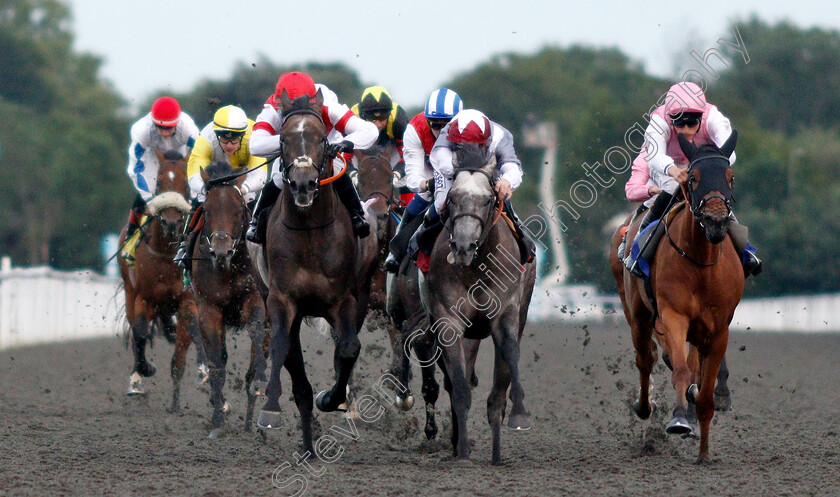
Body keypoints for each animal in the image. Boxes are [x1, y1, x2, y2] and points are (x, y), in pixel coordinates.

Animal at [118, 152, 207, 410]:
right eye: (158, 184)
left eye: (186, 185)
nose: (171, 222)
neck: (167, 255)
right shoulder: (145, 297)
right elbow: (140, 330)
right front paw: (145, 369)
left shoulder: (188, 297)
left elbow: (194, 328)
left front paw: (202, 370)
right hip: (130, 292)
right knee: (137, 329)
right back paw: (137, 382)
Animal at [190, 164, 270, 438]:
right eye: (206, 209)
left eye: (237, 210)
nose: (221, 252)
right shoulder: (208, 308)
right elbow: (216, 363)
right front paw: (217, 423)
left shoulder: (254, 298)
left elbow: (256, 332)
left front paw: (259, 379)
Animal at [253, 89, 378, 454]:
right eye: (283, 137)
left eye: (323, 138)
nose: (304, 184)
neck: (309, 232)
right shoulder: (281, 300)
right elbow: (280, 347)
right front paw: (270, 410)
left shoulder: (344, 300)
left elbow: (349, 349)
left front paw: (332, 398)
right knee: (297, 375)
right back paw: (308, 448)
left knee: (344, 350)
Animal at [426, 144, 540, 464]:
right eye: (452, 197)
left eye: (488, 198)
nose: (463, 246)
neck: (476, 266)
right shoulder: (449, 320)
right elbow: (460, 389)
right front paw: (463, 453)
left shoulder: (506, 313)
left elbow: (508, 361)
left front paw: (518, 416)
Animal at [612, 131, 740, 462]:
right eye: (693, 177)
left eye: (730, 177)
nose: (716, 221)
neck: (701, 265)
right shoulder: (673, 316)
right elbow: (681, 370)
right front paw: (680, 419)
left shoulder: (718, 330)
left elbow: (704, 388)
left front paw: (704, 452)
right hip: (638, 315)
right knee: (646, 359)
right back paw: (646, 406)